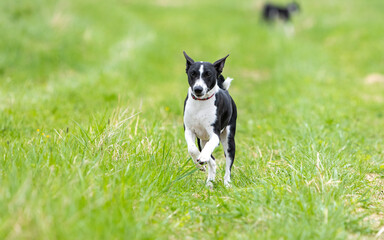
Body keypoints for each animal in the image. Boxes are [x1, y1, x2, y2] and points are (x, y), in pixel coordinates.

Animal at [183, 51, 237, 188]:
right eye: (193, 74)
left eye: (208, 74)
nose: (198, 89)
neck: (200, 104)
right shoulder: (189, 130)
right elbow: (192, 149)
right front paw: (198, 163)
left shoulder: (215, 134)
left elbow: (210, 147)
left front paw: (201, 159)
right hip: (201, 140)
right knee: (212, 160)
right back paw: (209, 182)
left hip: (229, 140)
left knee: (228, 165)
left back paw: (227, 184)